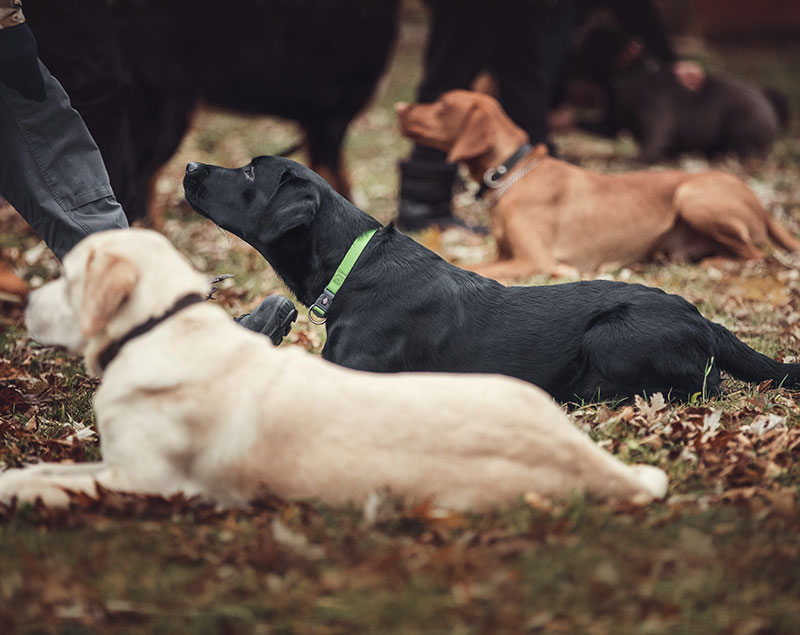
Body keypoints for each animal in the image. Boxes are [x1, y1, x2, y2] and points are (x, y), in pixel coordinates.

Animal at [183, 158, 800, 404]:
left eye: (248, 172)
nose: (189, 166)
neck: (353, 265)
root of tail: (704, 318)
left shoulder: (352, 374)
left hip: (615, 335)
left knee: (705, 386)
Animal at [396, 90, 800, 280]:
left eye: (442, 102)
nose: (399, 107)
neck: (512, 173)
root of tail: (759, 202)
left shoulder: (531, 259)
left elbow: (470, 266)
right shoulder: (506, 254)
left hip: (692, 196)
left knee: (757, 253)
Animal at [568, 22, 788, 163]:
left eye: (589, 46)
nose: (573, 42)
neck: (633, 76)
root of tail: (769, 101)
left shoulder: (656, 124)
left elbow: (651, 144)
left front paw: (635, 161)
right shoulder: (610, 125)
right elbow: (584, 123)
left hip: (743, 121)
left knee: (750, 151)